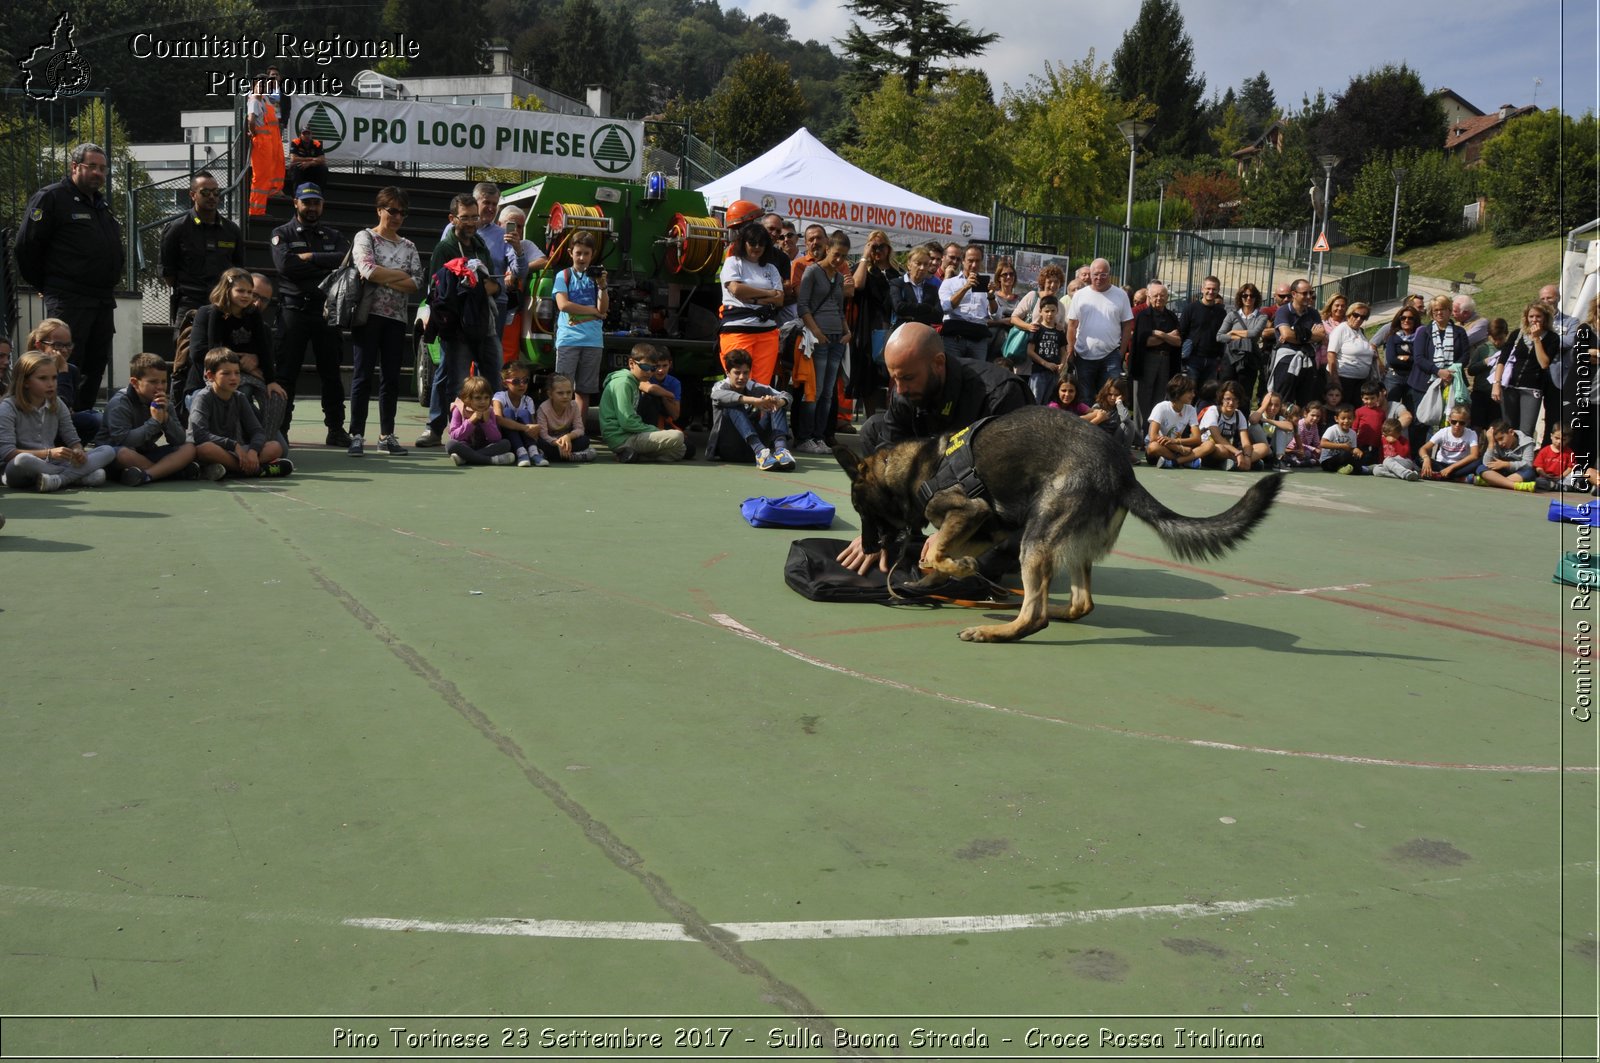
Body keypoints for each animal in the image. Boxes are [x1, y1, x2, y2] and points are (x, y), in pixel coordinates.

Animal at [832, 405, 1280, 640]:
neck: (917, 469)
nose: (868, 548)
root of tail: (1124, 472)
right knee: (1081, 603)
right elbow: (936, 554)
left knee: (1036, 616)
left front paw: (952, 567)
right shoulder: (988, 527)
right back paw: (1059, 609)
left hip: (1036, 539)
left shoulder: (969, 512)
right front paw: (939, 574)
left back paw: (1000, 630)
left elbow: (937, 549)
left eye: (861, 509)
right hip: (1065, 544)